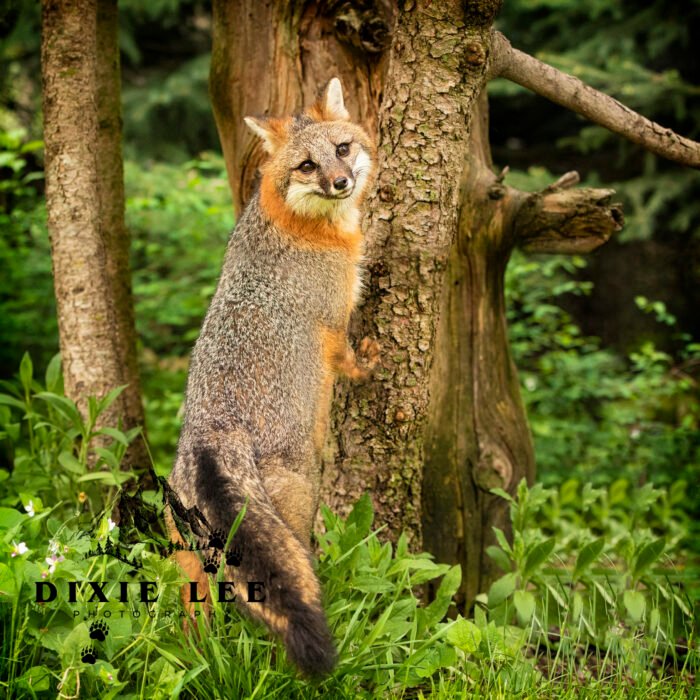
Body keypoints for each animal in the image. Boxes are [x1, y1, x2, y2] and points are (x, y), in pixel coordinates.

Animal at [165, 78, 378, 677]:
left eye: (343, 149)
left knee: (198, 618)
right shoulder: (332, 325)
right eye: (307, 165)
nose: (341, 181)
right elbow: (351, 359)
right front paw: (370, 366)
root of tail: (213, 433)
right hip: (300, 507)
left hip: (189, 564)